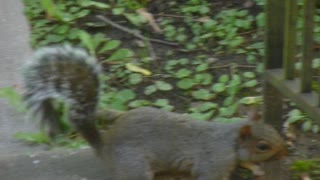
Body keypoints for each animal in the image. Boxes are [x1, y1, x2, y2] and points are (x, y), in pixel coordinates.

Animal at [22, 45, 288, 180]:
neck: (229, 140)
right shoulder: (212, 163)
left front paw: (255, 168)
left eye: (273, 129)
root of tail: (104, 146)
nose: (284, 151)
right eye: (262, 146)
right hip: (136, 167)